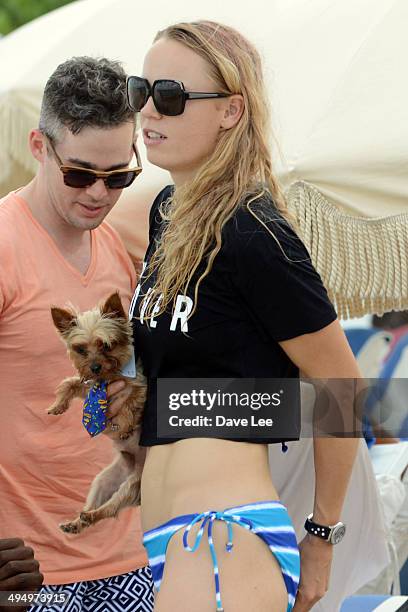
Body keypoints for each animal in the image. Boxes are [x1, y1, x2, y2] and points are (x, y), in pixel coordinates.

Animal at [48, 292, 146, 536]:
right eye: (81, 349)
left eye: (107, 346)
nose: (94, 367)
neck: (108, 377)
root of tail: (133, 467)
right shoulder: (91, 389)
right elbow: (70, 384)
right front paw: (57, 406)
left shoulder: (140, 387)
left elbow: (130, 402)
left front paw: (124, 426)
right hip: (103, 481)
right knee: (95, 506)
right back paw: (77, 521)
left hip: (134, 484)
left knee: (110, 508)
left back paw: (93, 514)